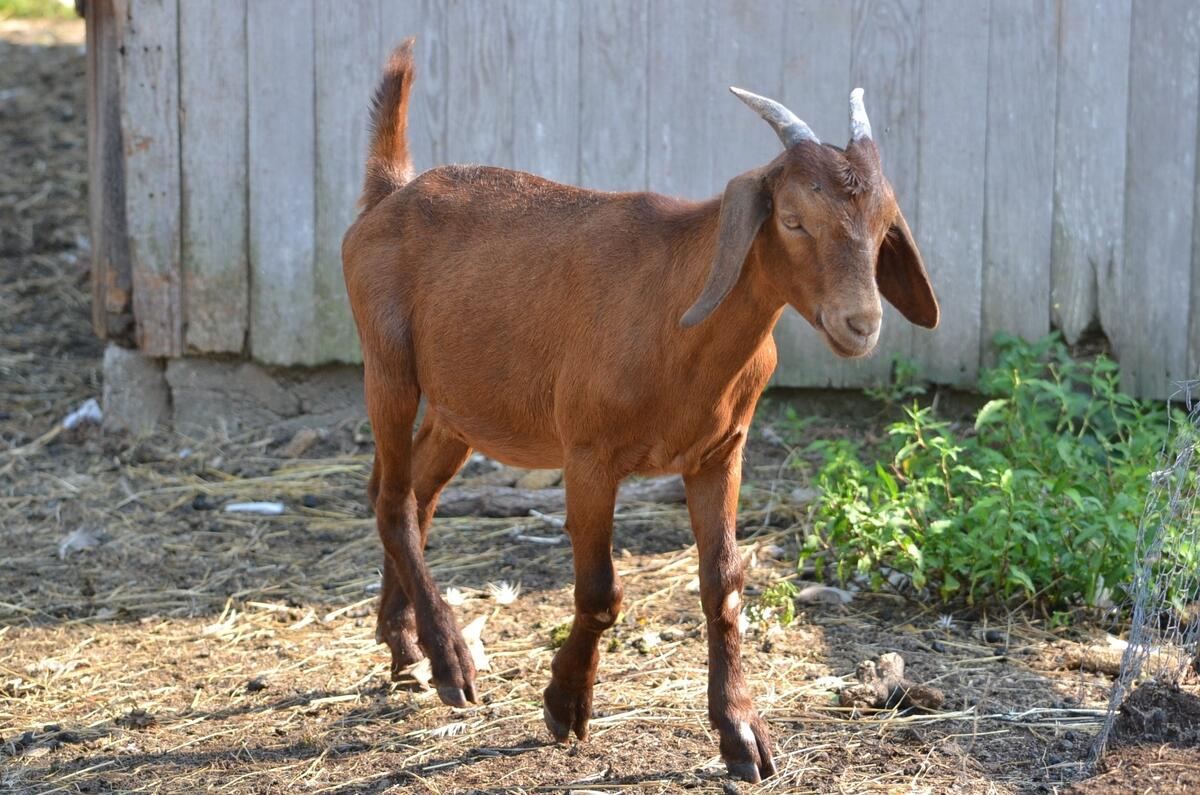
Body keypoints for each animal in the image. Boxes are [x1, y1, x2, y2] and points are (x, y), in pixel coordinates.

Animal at [342, 39, 938, 783]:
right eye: (794, 219)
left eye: (886, 225)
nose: (861, 324)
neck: (678, 317)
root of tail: (389, 194)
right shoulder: (589, 452)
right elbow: (600, 590)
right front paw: (565, 704)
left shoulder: (720, 451)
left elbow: (724, 584)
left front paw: (741, 733)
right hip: (387, 361)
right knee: (392, 497)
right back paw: (450, 658)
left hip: (462, 405)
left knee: (411, 492)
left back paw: (405, 643)